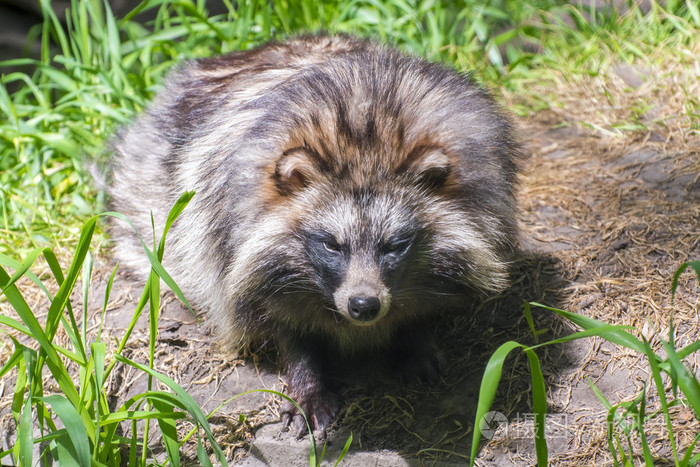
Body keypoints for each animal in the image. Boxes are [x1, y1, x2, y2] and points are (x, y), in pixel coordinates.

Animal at [110, 34, 520, 436]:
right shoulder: (233, 236)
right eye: (331, 245)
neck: (365, 130)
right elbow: (280, 318)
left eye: (394, 246)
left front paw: (414, 335)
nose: (363, 305)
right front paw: (307, 379)